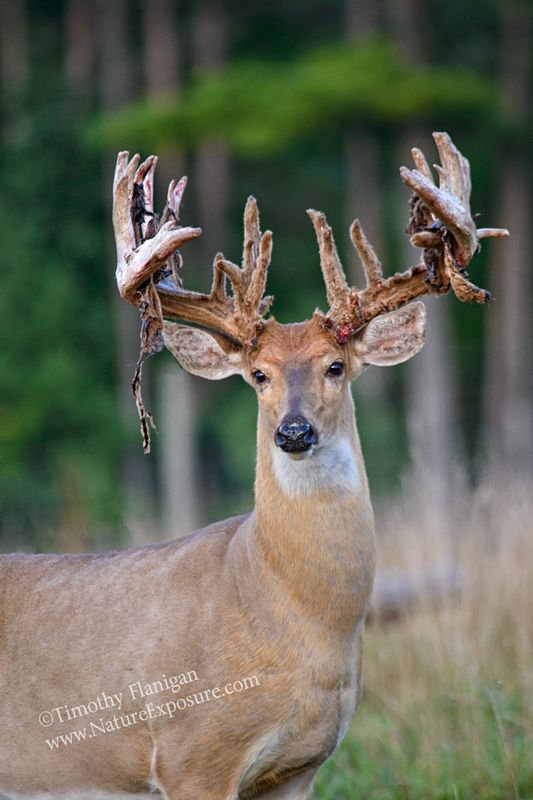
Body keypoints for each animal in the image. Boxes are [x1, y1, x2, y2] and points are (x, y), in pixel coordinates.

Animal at [0, 133, 507, 800]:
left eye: (335, 366)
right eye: (258, 375)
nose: (293, 432)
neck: (282, 605)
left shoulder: (297, 769)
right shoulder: (191, 755)